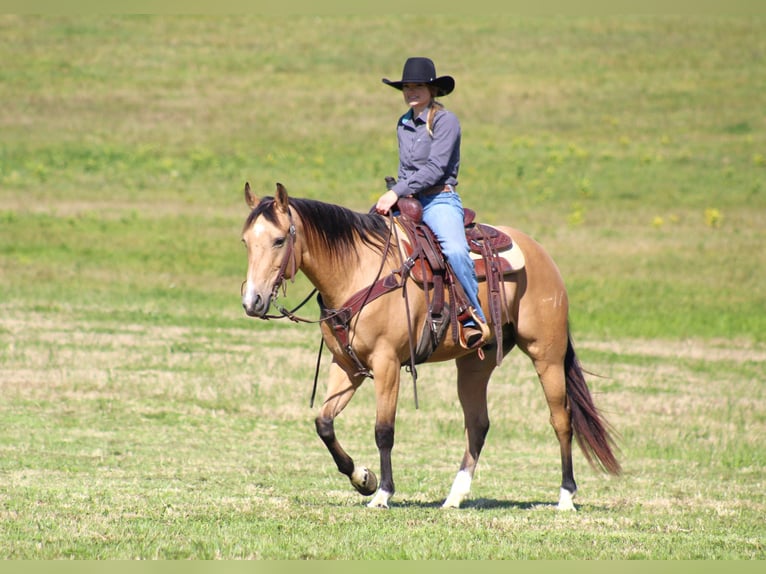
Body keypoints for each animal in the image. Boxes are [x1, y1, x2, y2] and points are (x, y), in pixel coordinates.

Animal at [243, 182, 620, 510]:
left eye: (279, 240)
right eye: (246, 241)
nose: (252, 301)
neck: (357, 270)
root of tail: (541, 254)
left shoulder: (387, 364)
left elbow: (384, 430)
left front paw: (382, 493)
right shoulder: (347, 367)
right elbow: (324, 423)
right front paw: (363, 478)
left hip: (547, 355)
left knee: (561, 420)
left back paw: (566, 496)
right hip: (474, 364)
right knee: (478, 424)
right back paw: (454, 497)